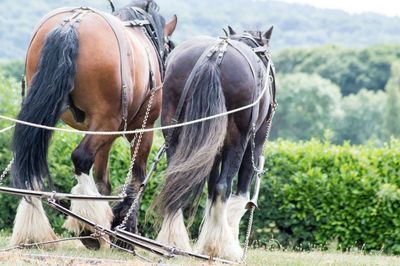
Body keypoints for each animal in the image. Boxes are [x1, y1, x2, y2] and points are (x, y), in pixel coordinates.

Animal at [10, 0, 177, 249]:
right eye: (170, 46)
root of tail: (72, 23)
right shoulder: (142, 128)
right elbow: (137, 178)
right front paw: (125, 231)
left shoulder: (105, 134)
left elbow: (102, 180)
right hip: (107, 121)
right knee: (81, 157)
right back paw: (89, 228)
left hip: (50, 114)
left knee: (30, 157)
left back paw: (36, 231)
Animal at [155, 26, 276, 260]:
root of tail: (215, 55)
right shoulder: (253, 145)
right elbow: (238, 194)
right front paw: (226, 245)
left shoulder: (213, 149)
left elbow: (210, 190)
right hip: (239, 139)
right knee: (223, 187)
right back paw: (223, 248)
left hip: (176, 133)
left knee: (176, 182)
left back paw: (173, 242)